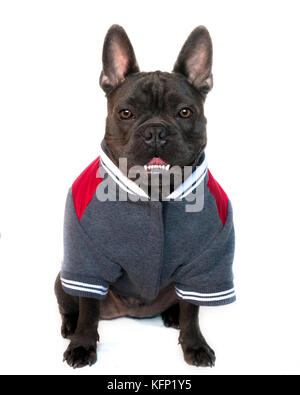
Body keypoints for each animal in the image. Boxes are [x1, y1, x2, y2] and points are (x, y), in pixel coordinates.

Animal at [55, 25, 236, 372]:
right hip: (63, 277)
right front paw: (82, 345)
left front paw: (194, 344)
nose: (155, 131)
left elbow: (193, 311)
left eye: (184, 112)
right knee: (73, 305)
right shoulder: (86, 259)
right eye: (126, 113)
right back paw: (70, 326)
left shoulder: (203, 264)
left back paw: (172, 315)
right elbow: (88, 310)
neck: (155, 191)